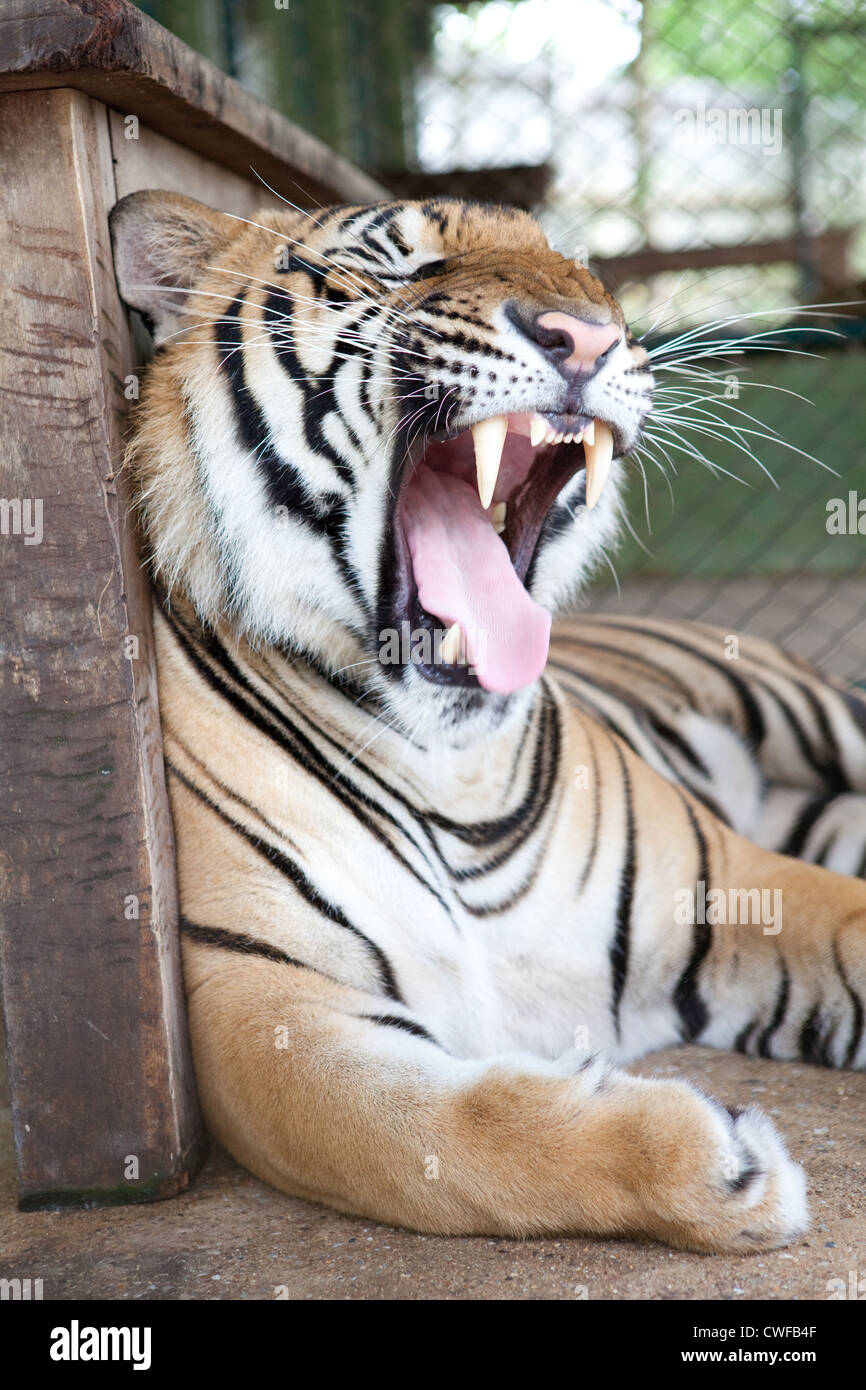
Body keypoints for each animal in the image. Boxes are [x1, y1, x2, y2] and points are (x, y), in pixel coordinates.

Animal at [109, 190, 866, 1254]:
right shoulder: (262, 1006)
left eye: (586, 274)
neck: (452, 764)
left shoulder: (742, 885)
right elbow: (448, 1144)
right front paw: (724, 1164)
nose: (587, 337)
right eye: (399, 263)